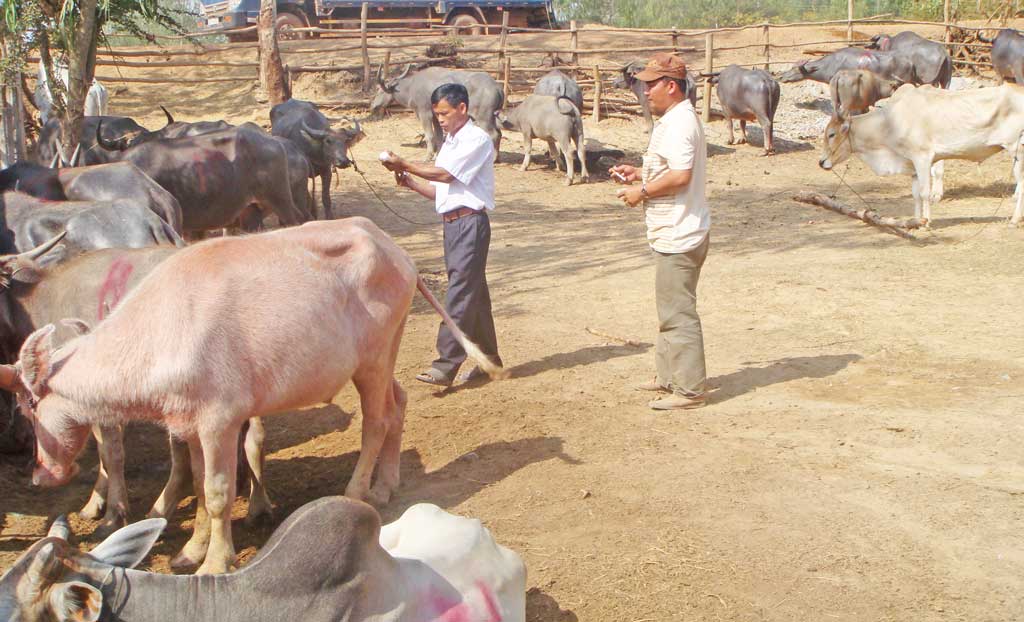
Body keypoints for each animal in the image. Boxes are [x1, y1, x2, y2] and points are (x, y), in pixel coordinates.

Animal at [370, 65, 504, 161]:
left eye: (379, 90)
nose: (373, 106)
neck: (411, 88)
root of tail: (497, 87)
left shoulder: (424, 113)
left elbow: (429, 136)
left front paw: (428, 157)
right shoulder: (436, 117)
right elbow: (439, 136)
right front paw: (437, 155)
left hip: (484, 117)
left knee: (494, 134)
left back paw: (493, 159)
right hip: (493, 116)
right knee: (499, 133)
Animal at [819, 83, 1024, 226]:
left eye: (832, 134)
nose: (821, 162)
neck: (889, 123)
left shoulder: (923, 158)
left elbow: (925, 192)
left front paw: (926, 223)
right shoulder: (912, 166)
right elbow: (916, 195)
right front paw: (915, 221)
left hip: (1017, 150)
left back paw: (1014, 220)